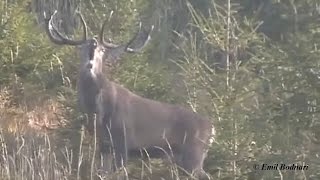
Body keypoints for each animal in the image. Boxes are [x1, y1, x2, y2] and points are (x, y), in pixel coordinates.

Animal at [43, 10, 215, 179]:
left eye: (102, 50)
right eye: (81, 48)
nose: (93, 43)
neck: (98, 112)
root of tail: (212, 128)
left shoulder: (123, 142)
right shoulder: (104, 145)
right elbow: (102, 173)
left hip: (194, 153)